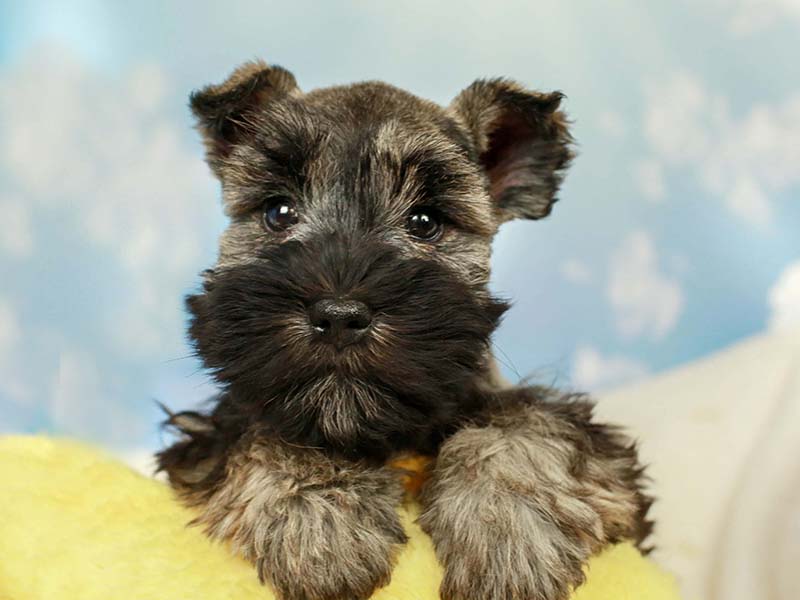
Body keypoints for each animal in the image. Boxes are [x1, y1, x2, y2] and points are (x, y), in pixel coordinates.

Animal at [159, 59, 652, 600]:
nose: (339, 316)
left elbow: (526, 425)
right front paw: (321, 522)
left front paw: (509, 531)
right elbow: (265, 431)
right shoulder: (217, 428)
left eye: (425, 222)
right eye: (277, 211)